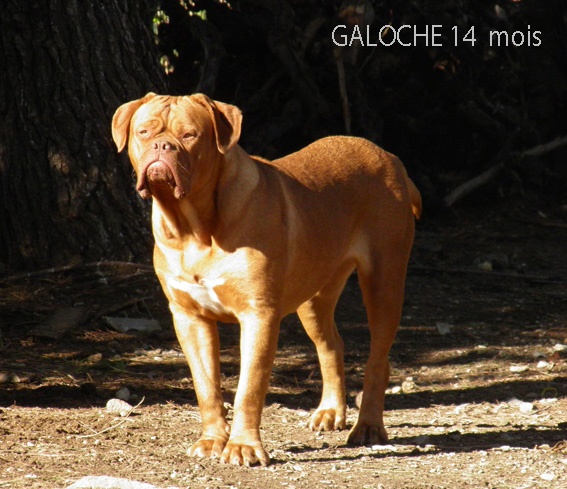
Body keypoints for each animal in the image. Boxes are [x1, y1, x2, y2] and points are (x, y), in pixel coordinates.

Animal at [112, 94, 422, 466]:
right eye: (143, 132)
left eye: (189, 135)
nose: (162, 146)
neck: (194, 228)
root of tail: (391, 158)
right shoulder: (189, 317)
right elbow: (206, 386)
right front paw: (212, 440)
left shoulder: (258, 315)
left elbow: (249, 388)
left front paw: (243, 446)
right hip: (314, 298)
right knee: (331, 344)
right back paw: (331, 411)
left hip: (383, 281)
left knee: (378, 358)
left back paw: (369, 427)